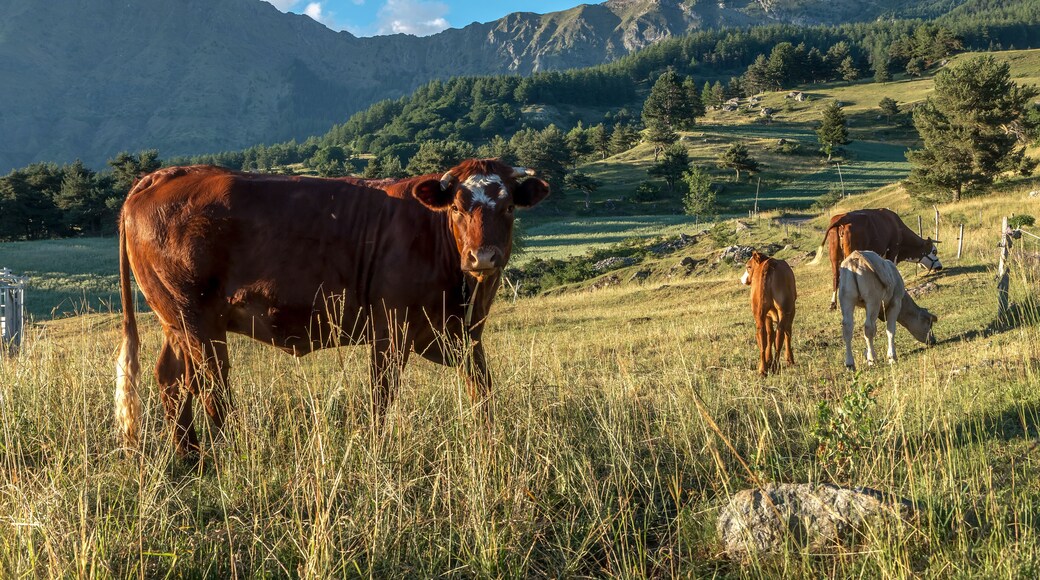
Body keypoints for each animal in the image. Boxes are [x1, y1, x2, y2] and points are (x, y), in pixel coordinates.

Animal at [115, 159, 549, 458]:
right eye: (457, 208)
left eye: (509, 208)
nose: (483, 256)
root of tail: (164, 175)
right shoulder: (391, 327)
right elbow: (382, 393)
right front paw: (377, 449)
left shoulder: (458, 334)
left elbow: (482, 387)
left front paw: (489, 442)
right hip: (197, 319)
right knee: (211, 385)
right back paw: (231, 454)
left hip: (177, 319)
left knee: (172, 379)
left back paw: (190, 456)